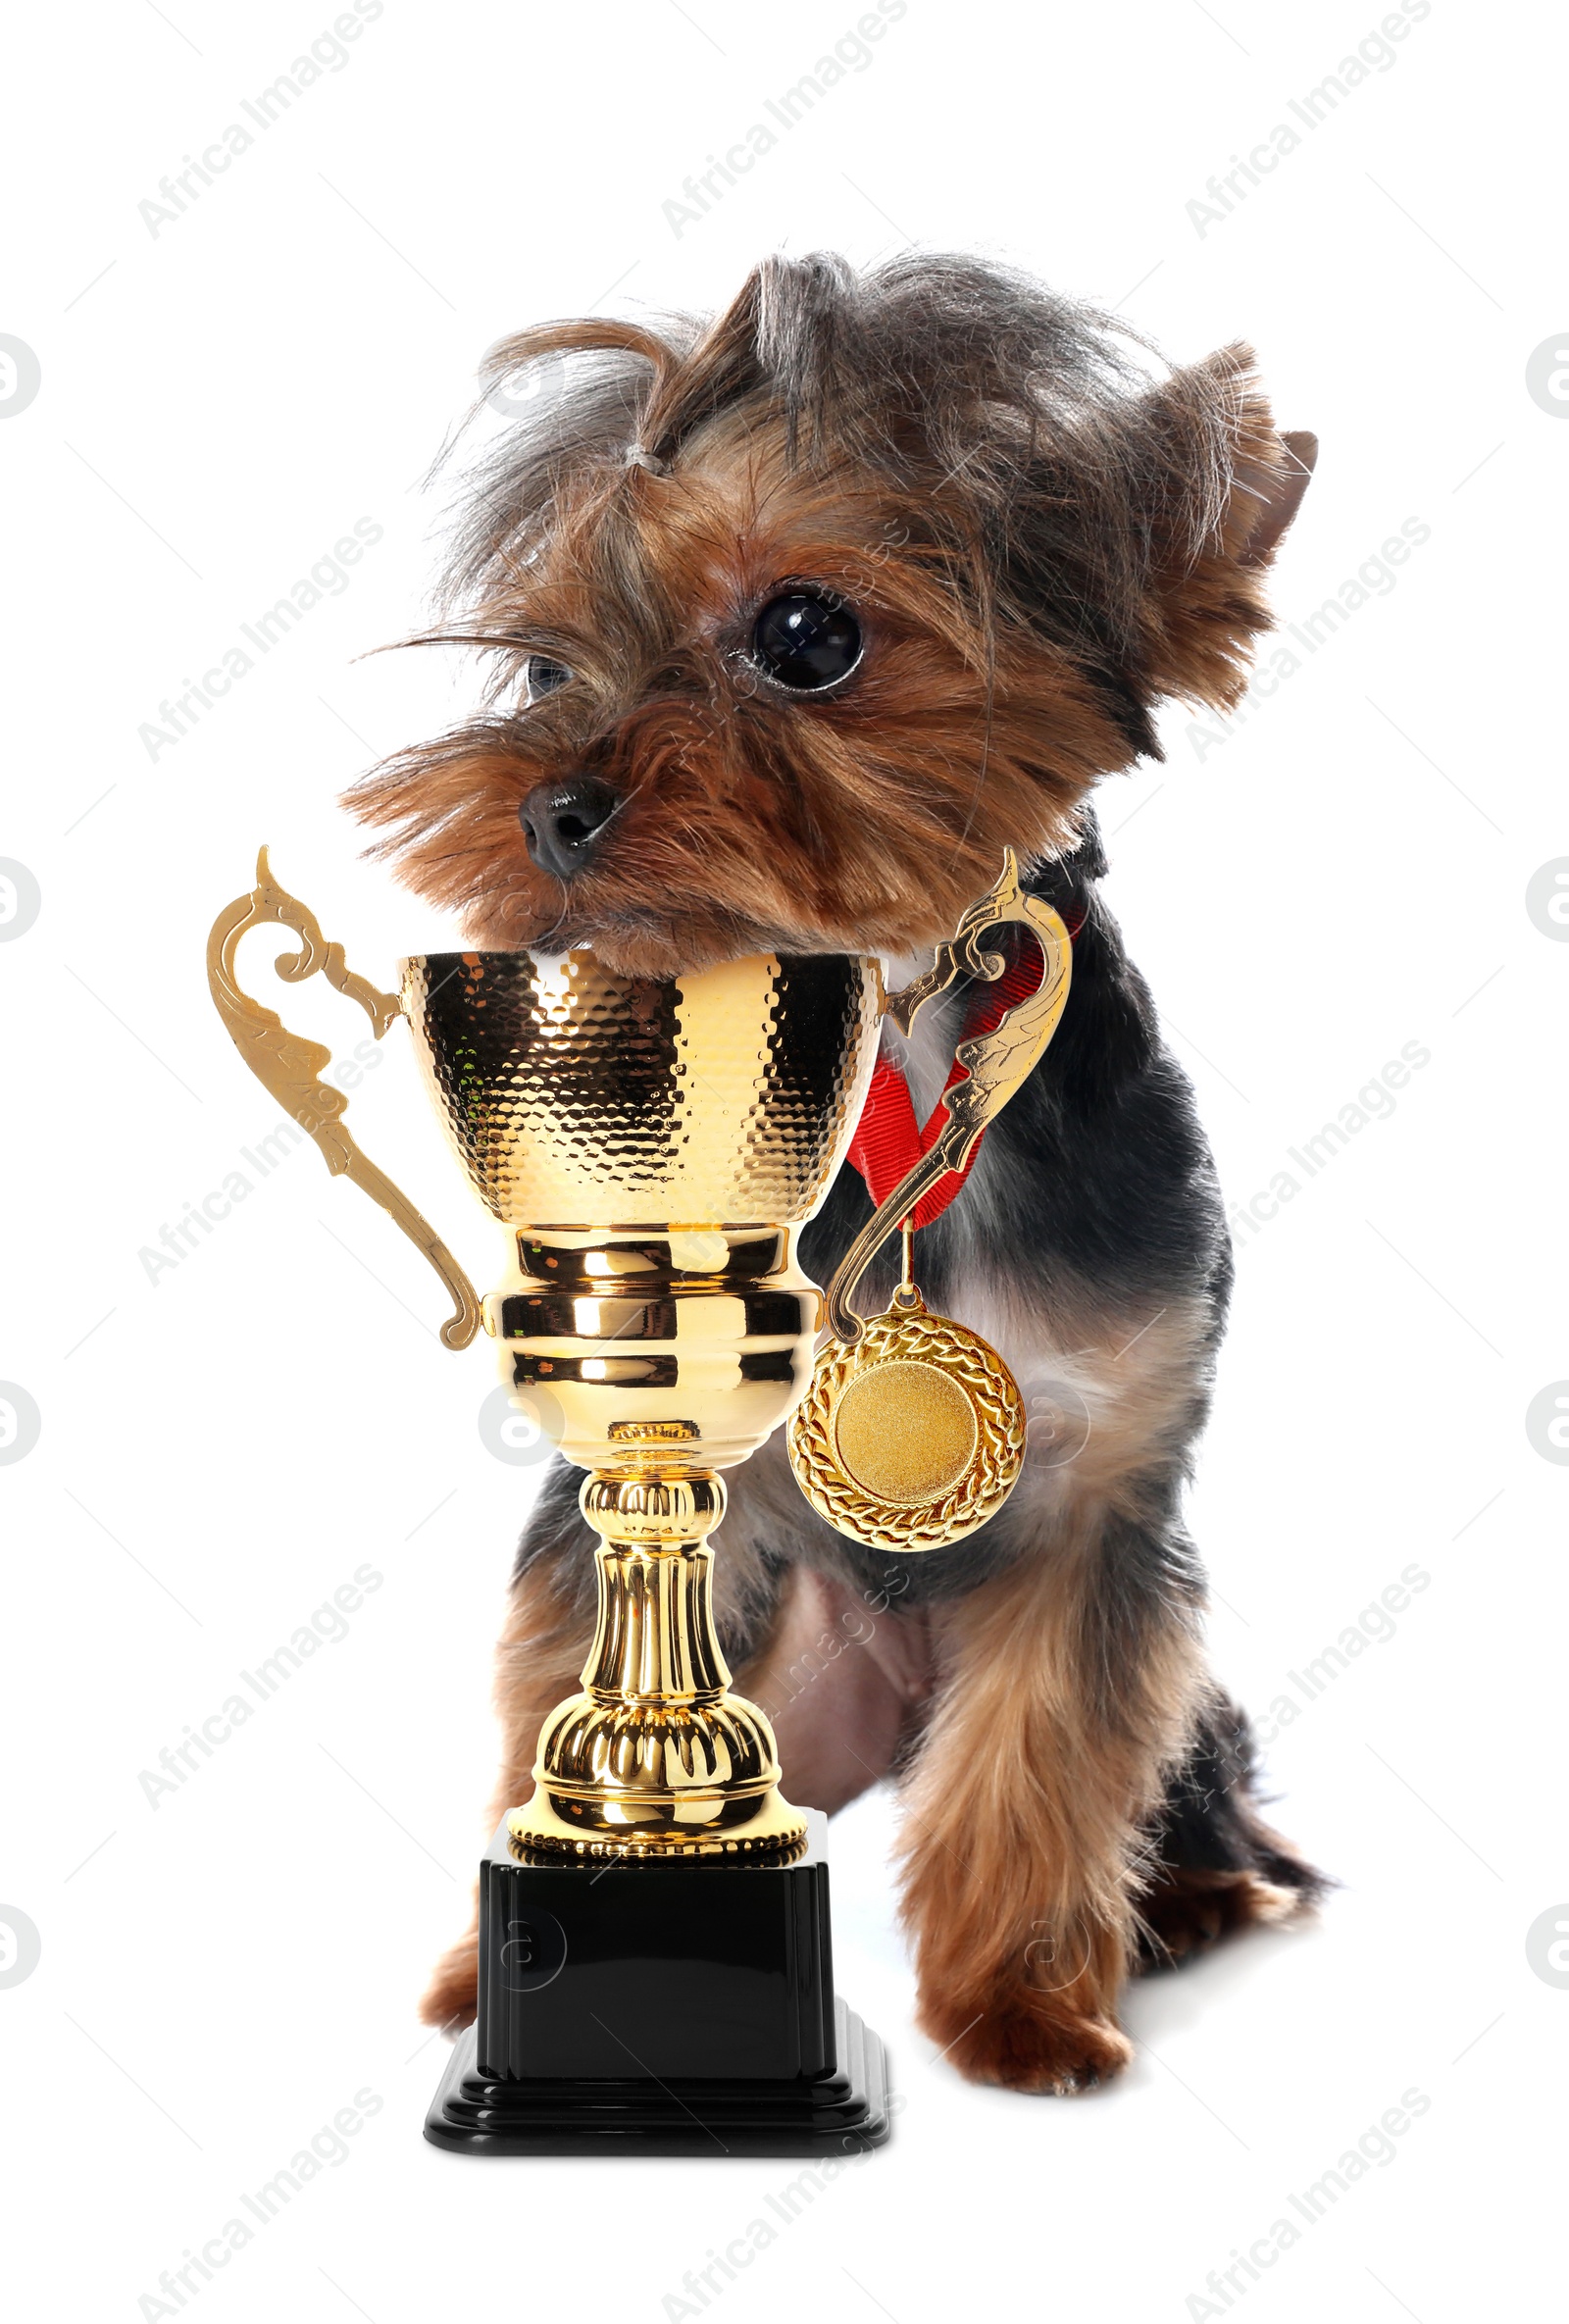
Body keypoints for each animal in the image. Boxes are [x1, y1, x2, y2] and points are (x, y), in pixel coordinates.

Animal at [355, 249, 1329, 2092]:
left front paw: (1023, 2007)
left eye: (807, 635)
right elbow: (557, 1677)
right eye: (543, 670)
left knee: (1180, 1776)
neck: (902, 1029)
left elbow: (1047, 1756)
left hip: (1181, 1706)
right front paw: (491, 1965)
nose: (549, 807)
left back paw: (1186, 1902)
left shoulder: (1104, 1502)